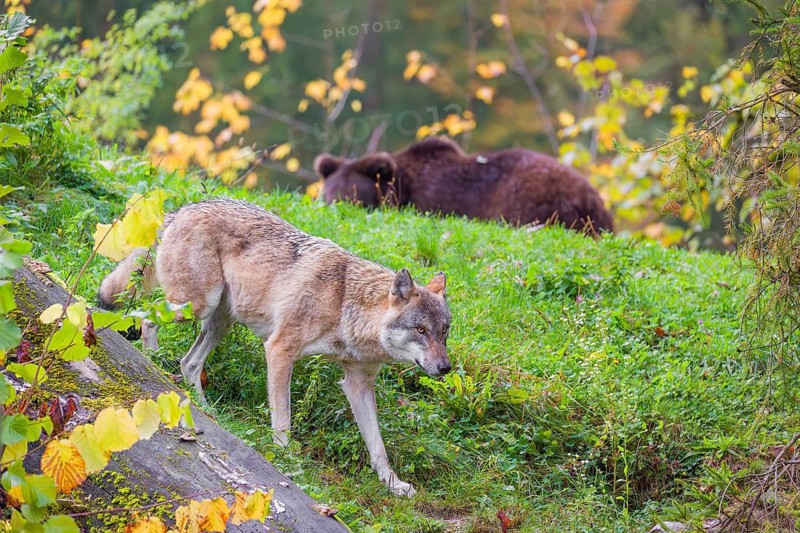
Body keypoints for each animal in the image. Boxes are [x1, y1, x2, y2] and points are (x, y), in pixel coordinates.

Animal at [98, 198, 451, 497]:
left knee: (189, 362)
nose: (446, 368)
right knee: (146, 320)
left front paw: (394, 485)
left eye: (444, 331)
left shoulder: (358, 382)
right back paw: (150, 360)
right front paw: (286, 461)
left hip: (220, 321)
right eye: (421, 330)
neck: (344, 304)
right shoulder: (280, 350)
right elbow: (283, 419)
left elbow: (377, 445)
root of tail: (183, 209)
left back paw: (206, 406)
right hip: (195, 307)